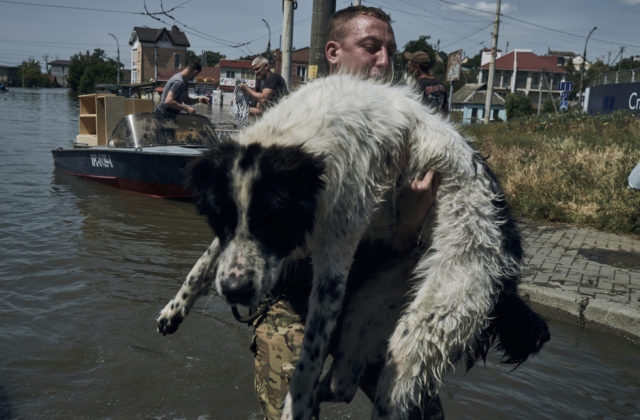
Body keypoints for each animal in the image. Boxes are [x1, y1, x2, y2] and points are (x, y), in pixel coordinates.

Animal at [156, 75, 552, 420]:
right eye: (219, 220)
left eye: (273, 222)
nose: (235, 291)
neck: (299, 137)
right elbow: (204, 263)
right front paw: (174, 310)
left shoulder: (334, 258)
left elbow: (309, 356)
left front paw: (295, 405)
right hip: (369, 307)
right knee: (344, 382)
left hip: (431, 322)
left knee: (389, 396)